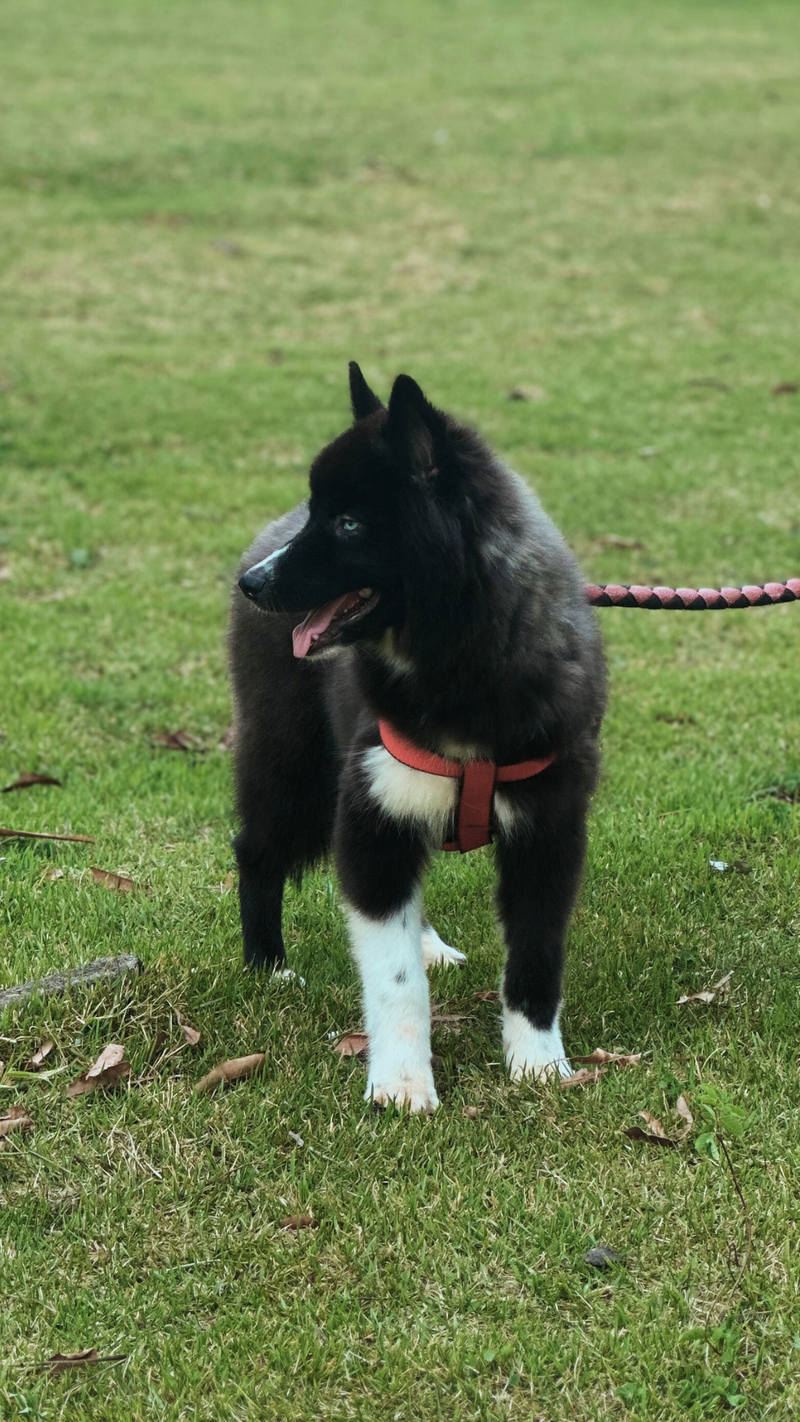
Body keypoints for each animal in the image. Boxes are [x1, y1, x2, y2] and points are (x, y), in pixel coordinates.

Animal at [228, 364, 605, 1109]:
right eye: (318, 513)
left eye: (348, 523)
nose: (251, 583)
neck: (460, 662)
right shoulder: (372, 814)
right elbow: (396, 982)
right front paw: (402, 1086)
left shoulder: (548, 832)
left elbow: (536, 958)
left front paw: (539, 1063)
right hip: (293, 768)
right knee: (255, 851)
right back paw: (269, 968)